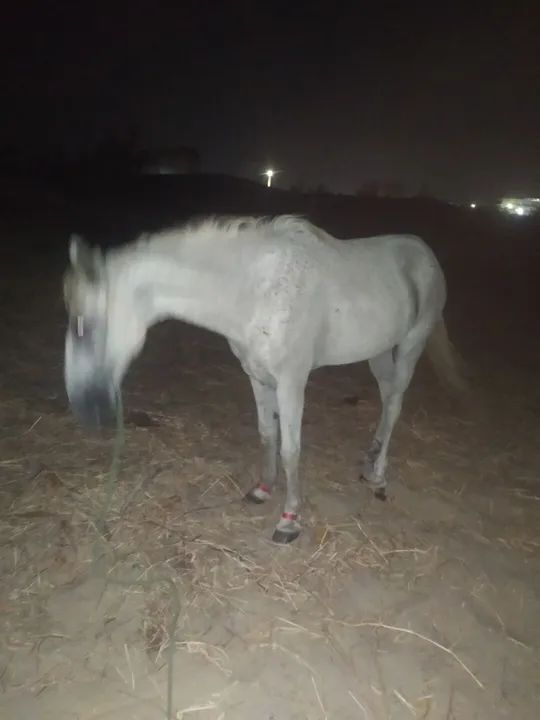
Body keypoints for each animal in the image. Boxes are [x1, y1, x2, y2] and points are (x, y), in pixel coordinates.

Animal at [63, 215, 465, 543]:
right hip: (378, 351)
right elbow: (267, 435)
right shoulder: (257, 376)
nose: (85, 407)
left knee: (395, 404)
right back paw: (370, 459)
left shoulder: (291, 382)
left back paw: (379, 477)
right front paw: (262, 490)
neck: (258, 292)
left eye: (85, 325)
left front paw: (289, 520)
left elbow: (291, 449)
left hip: (411, 345)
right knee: (385, 397)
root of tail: (425, 253)